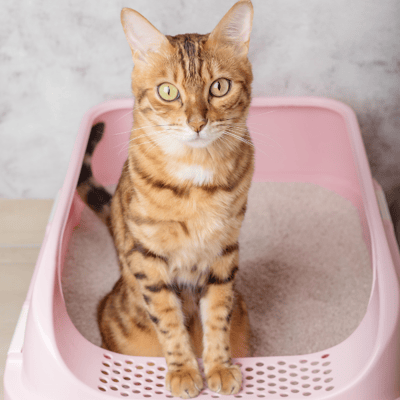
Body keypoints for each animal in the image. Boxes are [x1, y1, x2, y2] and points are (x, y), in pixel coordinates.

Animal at [76, 1, 255, 398]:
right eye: (168, 92)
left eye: (219, 86)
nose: (197, 123)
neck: (196, 178)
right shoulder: (148, 256)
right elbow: (169, 318)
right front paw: (184, 370)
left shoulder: (225, 250)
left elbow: (217, 314)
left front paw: (218, 366)